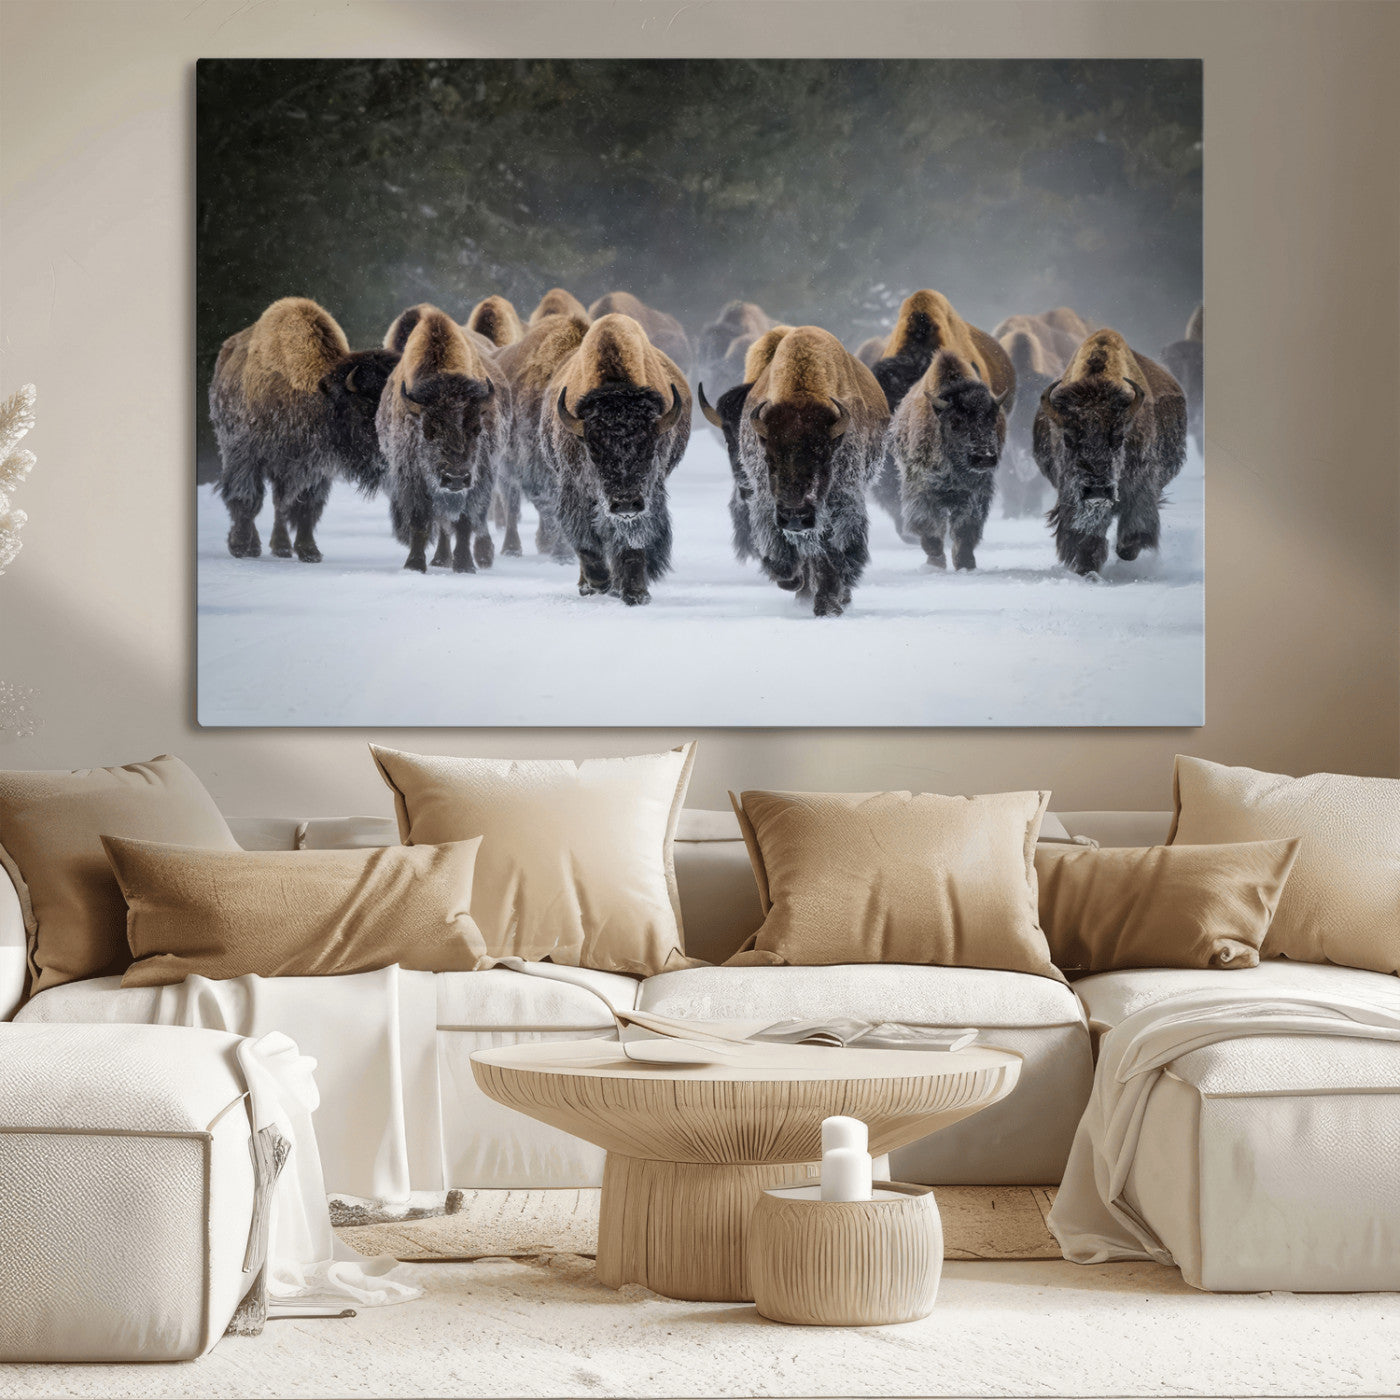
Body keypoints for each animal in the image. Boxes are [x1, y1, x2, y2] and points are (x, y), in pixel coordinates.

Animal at [209, 296, 397, 562]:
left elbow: (305, 506)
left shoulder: (313, 467)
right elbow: (246, 498)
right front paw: (240, 546)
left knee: (280, 504)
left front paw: (309, 551)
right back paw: (255, 546)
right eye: (365, 405)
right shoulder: (246, 455)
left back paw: (281, 547)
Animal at [544, 314, 690, 606]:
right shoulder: (575, 491)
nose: (624, 504)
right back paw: (590, 586)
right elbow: (585, 542)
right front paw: (599, 582)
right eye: (593, 452)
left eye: (650, 449)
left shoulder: (647, 497)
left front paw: (636, 593)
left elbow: (631, 542)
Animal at [739, 326, 890, 617]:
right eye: (769, 458)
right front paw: (792, 580)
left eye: (824, 457)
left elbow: (831, 552)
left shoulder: (839, 505)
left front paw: (828, 605)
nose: (795, 516)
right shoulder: (768, 503)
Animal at [1033, 328, 1187, 576]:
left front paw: (1126, 550)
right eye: (1068, 438)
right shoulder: (1072, 492)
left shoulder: (1141, 483)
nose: (1097, 490)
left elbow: (1136, 520)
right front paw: (1087, 567)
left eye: (1118, 438)